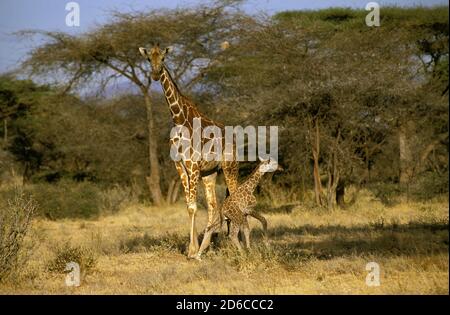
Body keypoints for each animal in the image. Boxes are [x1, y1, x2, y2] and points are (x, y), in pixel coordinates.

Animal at [139, 42, 239, 260]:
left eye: (164, 58)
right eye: (149, 58)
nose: (155, 74)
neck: (178, 119)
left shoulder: (193, 165)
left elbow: (193, 206)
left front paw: (192, 251)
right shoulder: (180, 166)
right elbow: (189, 206)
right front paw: (193, 249)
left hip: (229, 166)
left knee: (235, 198)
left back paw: (236, 244)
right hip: (210, 173)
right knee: (213, 205)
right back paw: (208, 245)